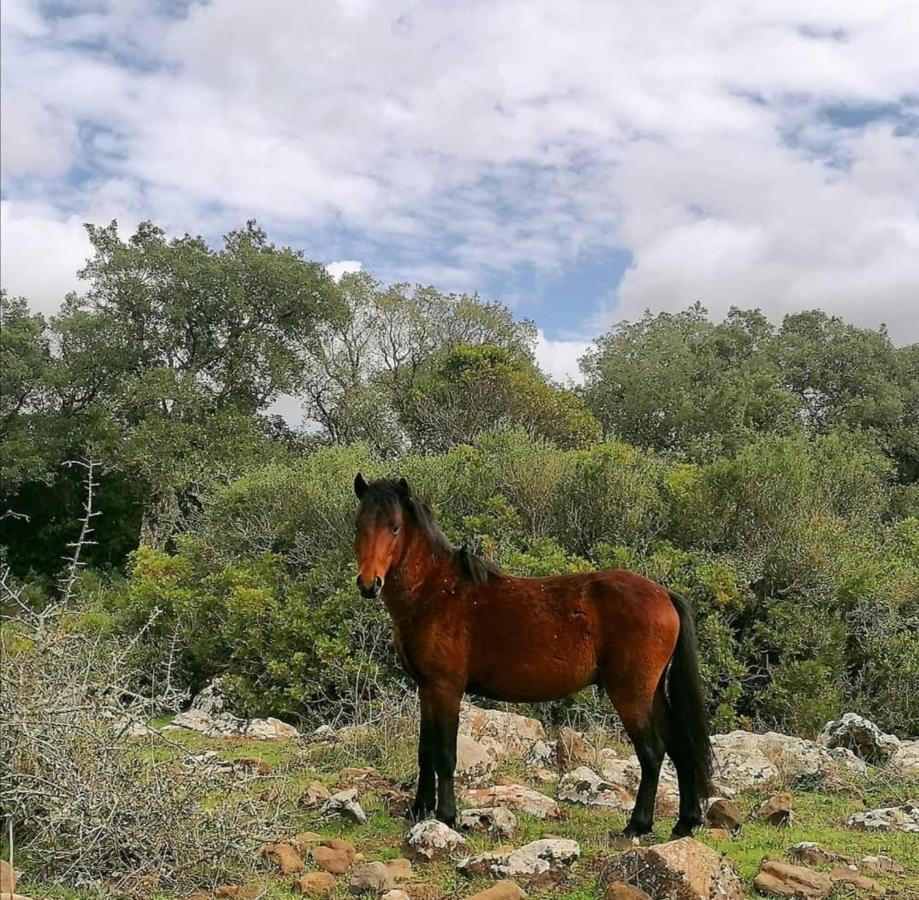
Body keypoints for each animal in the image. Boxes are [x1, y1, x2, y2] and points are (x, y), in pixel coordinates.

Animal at [352, 472, 712, 836]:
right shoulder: (426, 689)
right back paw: (685, 822)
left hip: (631, 693)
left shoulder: (445, 689)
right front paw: (419, 808)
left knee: (652, 751)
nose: (369, 584)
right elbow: (425, 751)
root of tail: (664, 594)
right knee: (680, 748)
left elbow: (445, 754)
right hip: (652, 693)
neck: (437, 592)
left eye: (395, 527)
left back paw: (637, 825)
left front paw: (447, 816)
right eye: (359, 525)